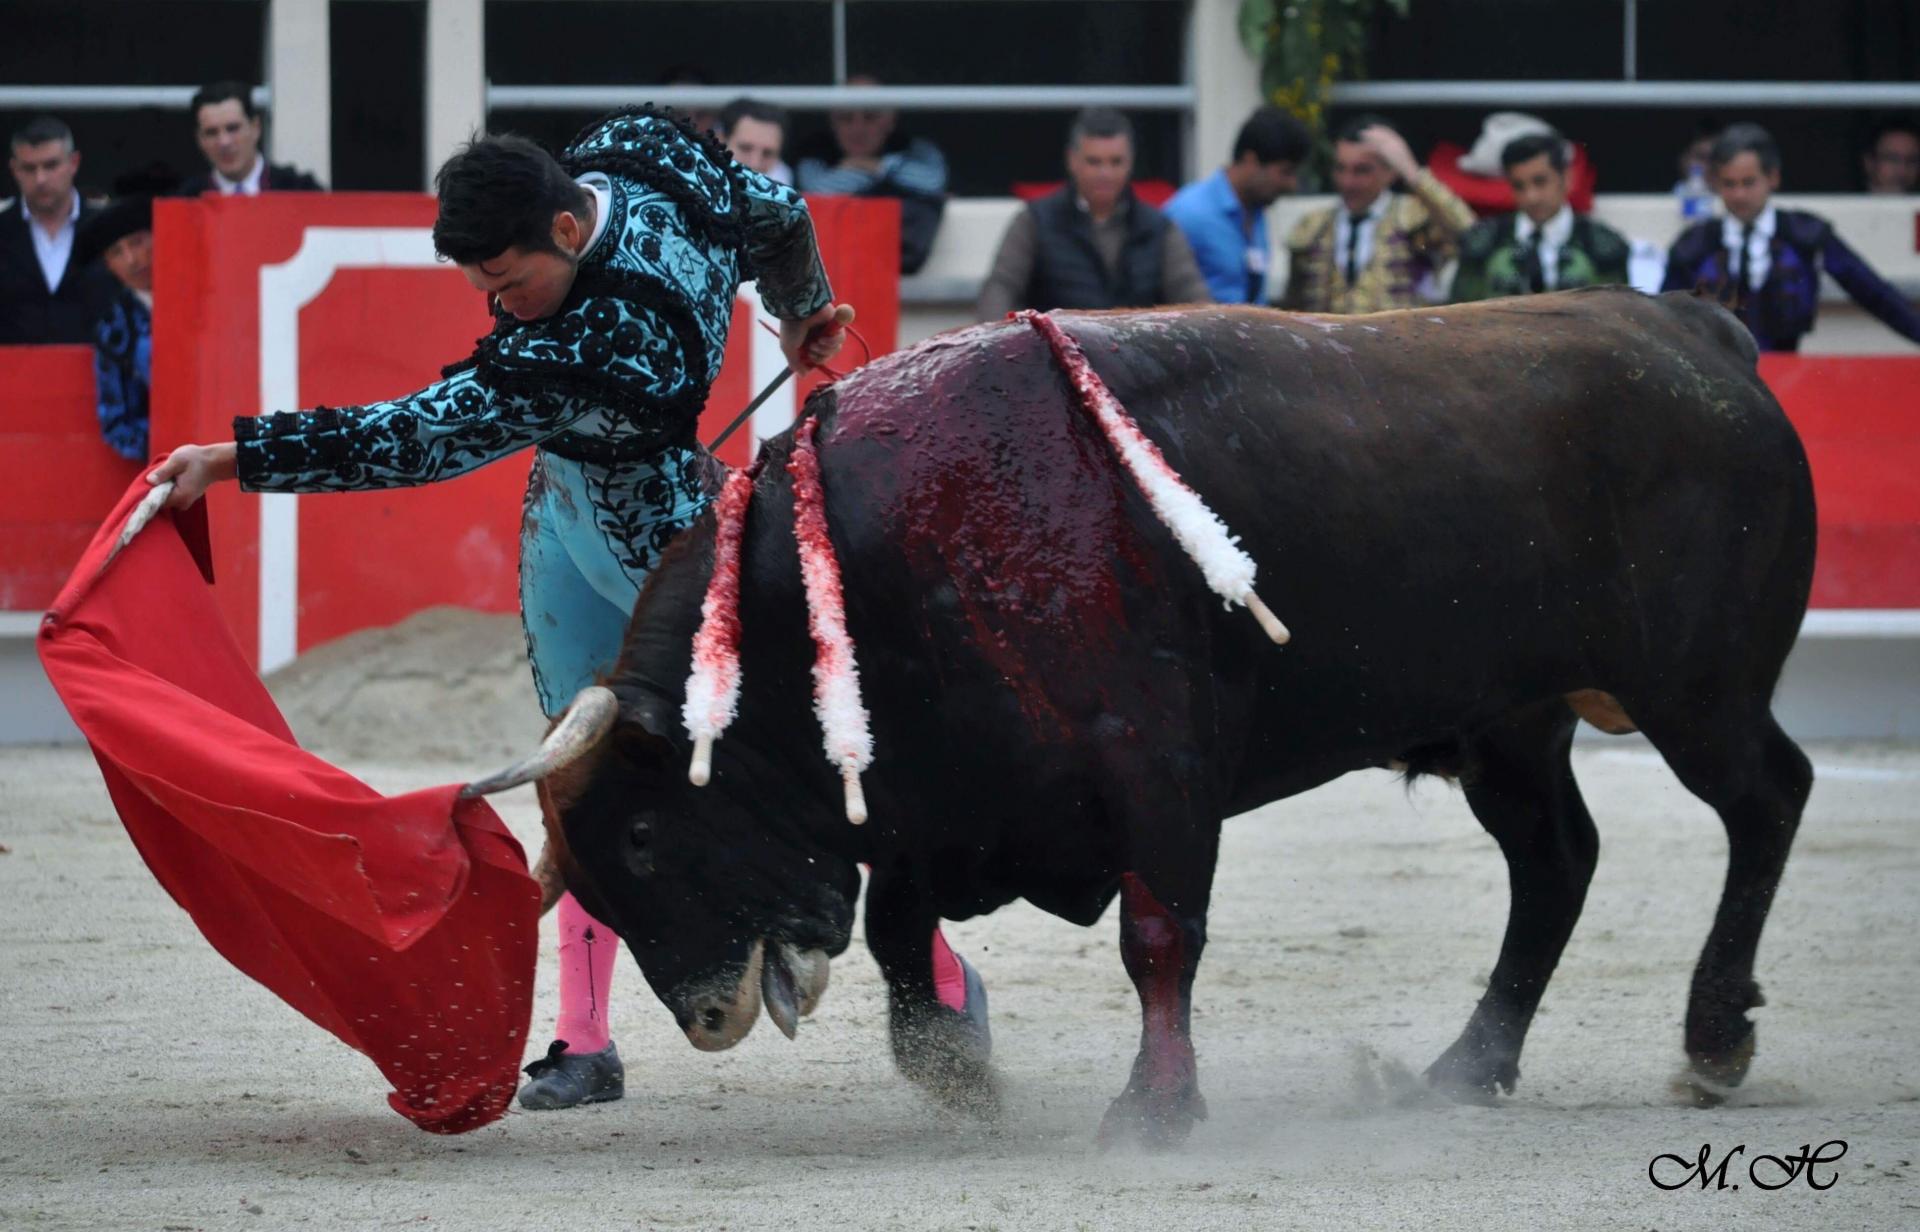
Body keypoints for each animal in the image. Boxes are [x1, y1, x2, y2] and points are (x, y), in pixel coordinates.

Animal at [526, 289, 1812, 1143]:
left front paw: (1153, 1107)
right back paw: (1466, 1065)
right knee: (1555, 862)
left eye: (644, 833)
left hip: (1697, 694)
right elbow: (898, 928)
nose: (707, 1015)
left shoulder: (1154, 764)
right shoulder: (943, 802)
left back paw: (1713, 1040)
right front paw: (957, 1074)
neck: (877, 558)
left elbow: (1157, 934)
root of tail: (1699, 334)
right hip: (1513, 725)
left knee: (1766, 798)